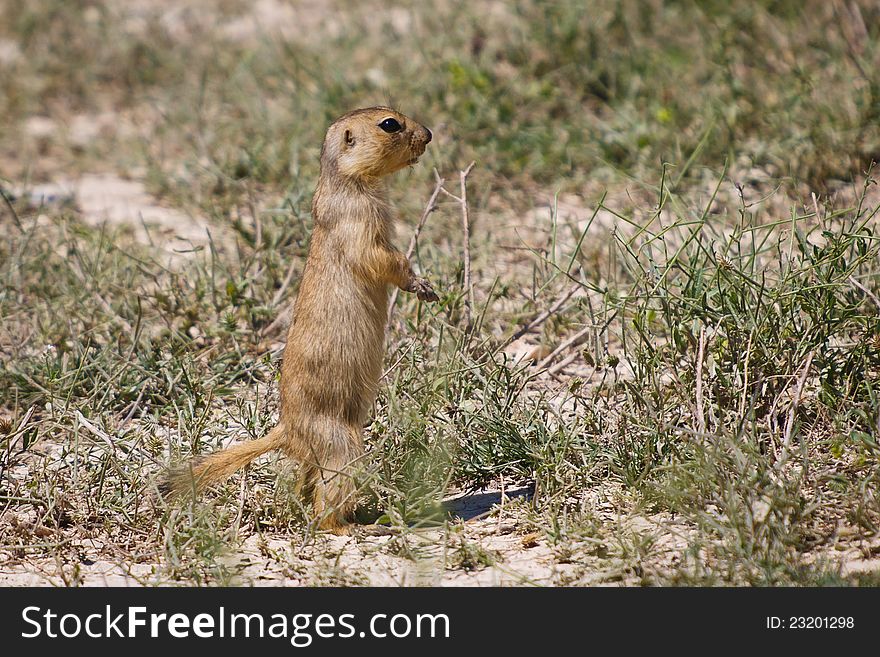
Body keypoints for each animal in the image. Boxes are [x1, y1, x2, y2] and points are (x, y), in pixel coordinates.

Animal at [161, 105, 436, 532]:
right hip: (342, 445)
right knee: (326, 500)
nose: (429, 134)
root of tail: (288, 431)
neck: (347, 184)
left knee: (304, 485)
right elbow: (384, 258)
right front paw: (421, 285)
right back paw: (357, 525)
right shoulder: (358, 222)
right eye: (390, 124)